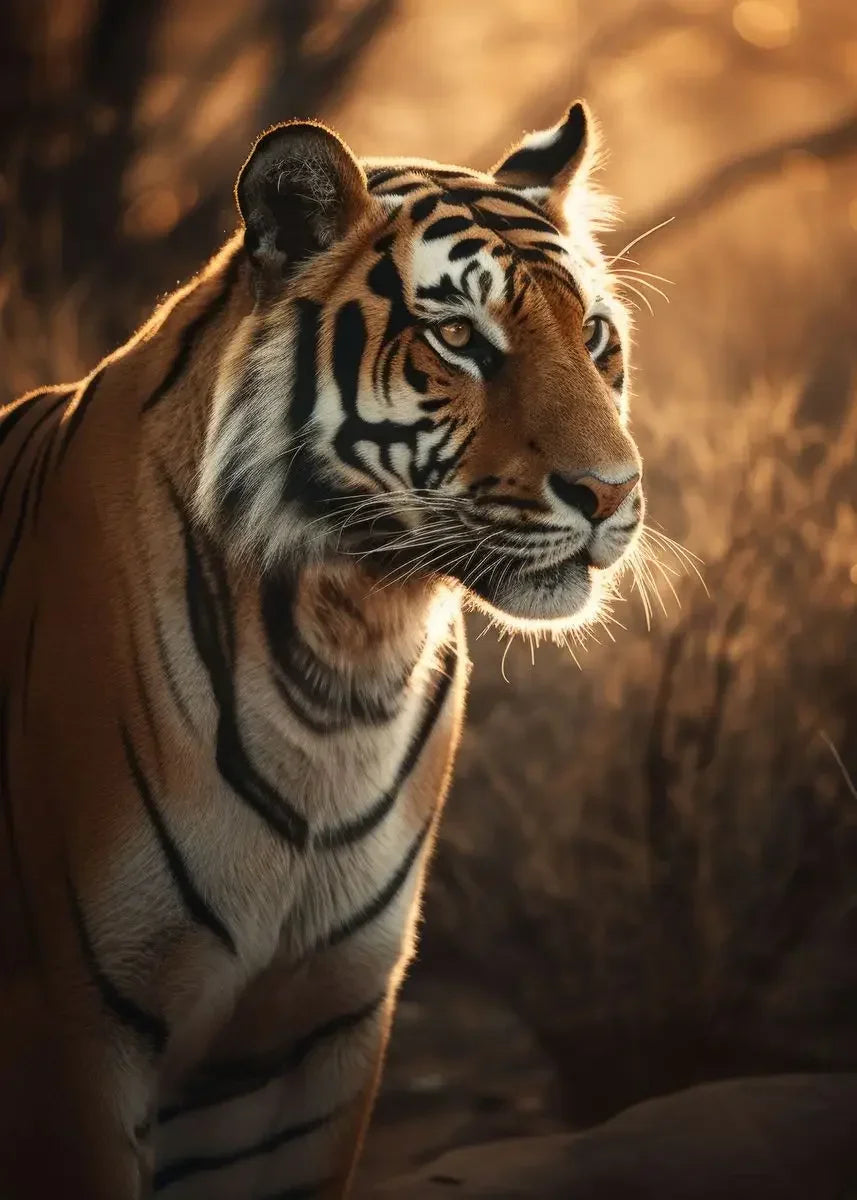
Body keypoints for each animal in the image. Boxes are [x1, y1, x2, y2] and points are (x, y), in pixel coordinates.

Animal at [0, 99, 643, 1199]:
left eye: (593, 335)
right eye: (457, 337)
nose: (611, 493)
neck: (347, 645)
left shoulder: (308, 1038)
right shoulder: (70, 1017)